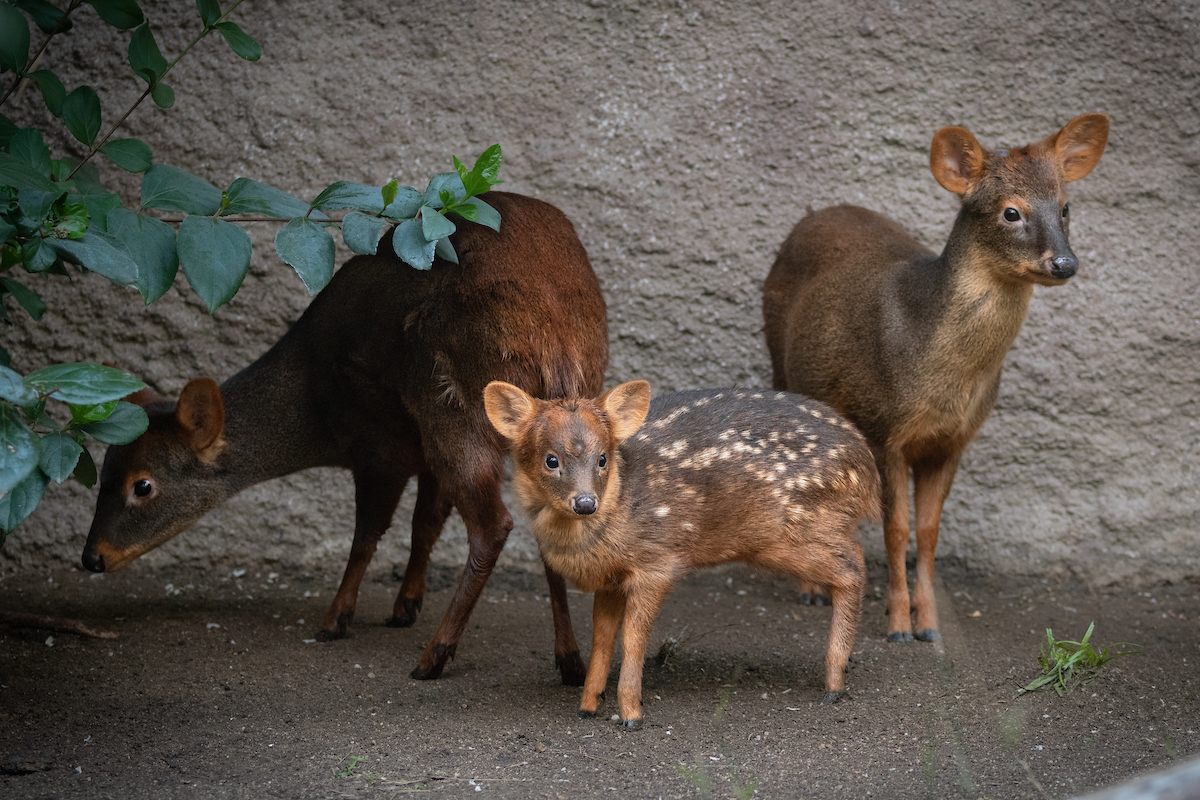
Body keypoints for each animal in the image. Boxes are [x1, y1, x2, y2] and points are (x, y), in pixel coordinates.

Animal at [82, 191, 609, 684]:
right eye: (102, 472)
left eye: (143, 485)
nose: (92, 558)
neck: (315, 405)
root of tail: (555, 335)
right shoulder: (421, 455)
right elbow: (423, 525)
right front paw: (404, 606)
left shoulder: (380, 449)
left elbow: (367, 535)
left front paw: (337, 618)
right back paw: (568, 659)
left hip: (456, 411)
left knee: (493, 526)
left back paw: (434, 656)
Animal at [485, 380, 879, 727]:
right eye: (551, 460)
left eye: (602, 459)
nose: (585, 503)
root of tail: (868, 470)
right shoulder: (610, 579)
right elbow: (601, 638)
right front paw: (587, 706)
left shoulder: (657, 561)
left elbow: (634, 637)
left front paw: (631, 714)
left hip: (795, 530)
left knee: (854, 565)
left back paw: (834, 683)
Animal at [762, 114, 1109, 643]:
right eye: (1011, 212)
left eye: (1066, 206)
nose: (1064, 263)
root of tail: (810, 216)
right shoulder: (883, 428)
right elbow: (896, 530)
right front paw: (898, 625)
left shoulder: (952, 441)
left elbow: (927, 533)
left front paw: (929, 625)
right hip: (783, 365)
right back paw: (811, 590)